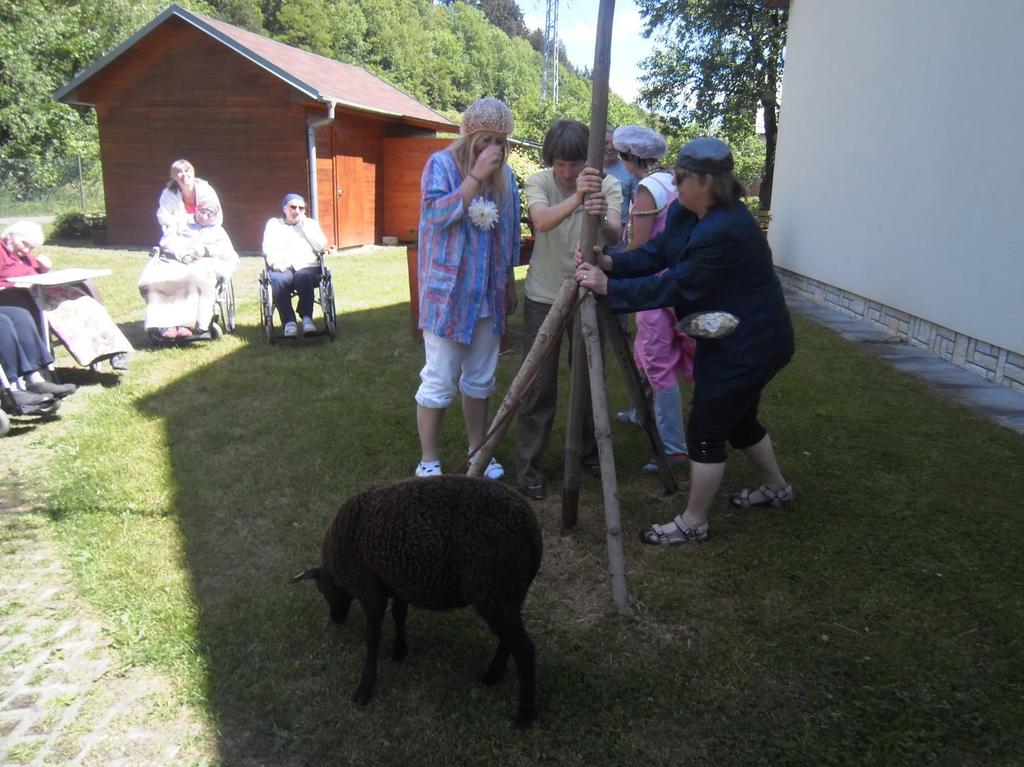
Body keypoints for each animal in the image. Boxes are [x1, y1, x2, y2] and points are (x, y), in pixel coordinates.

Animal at [290, 475, 544, 729]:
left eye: (322, 590)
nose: (336, 619)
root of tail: (531, 530)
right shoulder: (398, 582)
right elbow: (399, 615)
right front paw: (399, 652)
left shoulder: (370, 589)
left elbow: (372, 639)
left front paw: (364, 690)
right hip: (508, 593)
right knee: (508, 640)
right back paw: (493, 676)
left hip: (494, 587)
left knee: (524, 649)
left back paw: (525, 714)